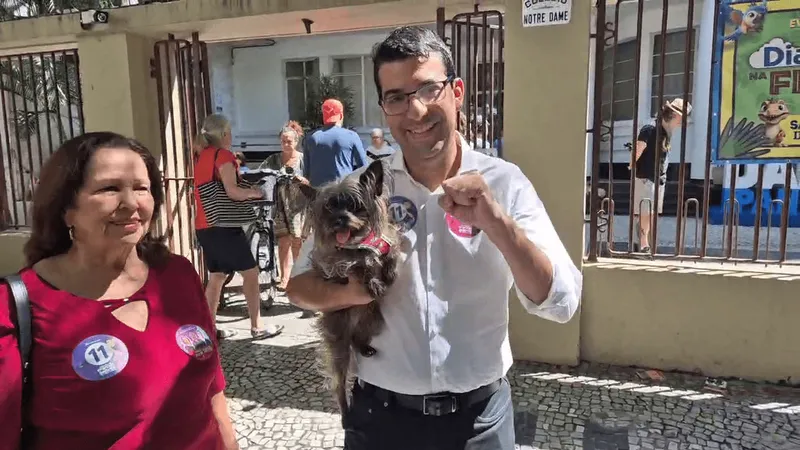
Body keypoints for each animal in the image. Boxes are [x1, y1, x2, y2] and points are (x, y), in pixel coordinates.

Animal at [298, 160, 404, 414]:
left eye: (355, 206)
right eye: (328, 208)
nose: (339, 220)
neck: (360, 241)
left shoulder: (388, 239)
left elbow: (391, 253)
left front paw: (389, 271)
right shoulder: (336, 263)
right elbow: (358, 265)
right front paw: (373, 279)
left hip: (373, 321)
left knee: (358, 338)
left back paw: (364, 347)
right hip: (338, 340)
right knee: (339, 378)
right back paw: (344, 406)